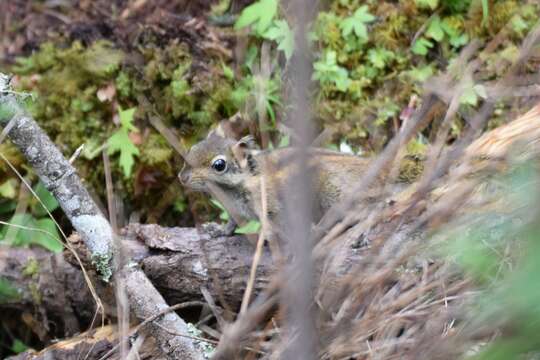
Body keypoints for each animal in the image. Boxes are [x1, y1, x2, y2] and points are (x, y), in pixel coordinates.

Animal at [178, 129, 384, 239]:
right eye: (193, 148)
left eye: (219, 165)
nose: (182, 177)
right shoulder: (234, 210)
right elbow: (231, 224)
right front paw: (219, 230)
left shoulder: (272, 207)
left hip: (334, 195)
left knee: (371, 206)